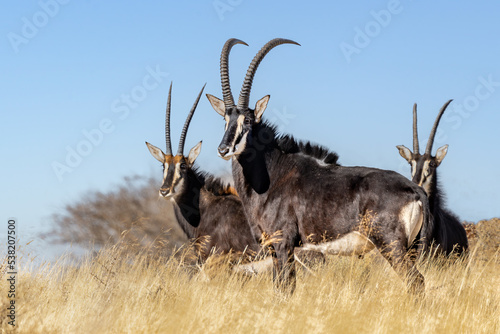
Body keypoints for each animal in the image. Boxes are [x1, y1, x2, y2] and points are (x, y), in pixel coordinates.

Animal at [205, 37, 432, 294]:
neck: (273, 174)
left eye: (248, 121)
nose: (224, 149)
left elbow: (286, 287)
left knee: (416, 281)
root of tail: (415, 190)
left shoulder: (284, 243)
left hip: (391, 245)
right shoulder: (273, 249)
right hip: (409, 248)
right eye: (225, 119)